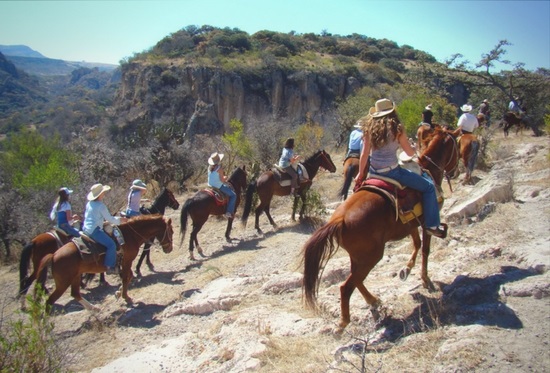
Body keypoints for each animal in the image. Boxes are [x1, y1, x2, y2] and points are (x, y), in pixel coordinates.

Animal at [36, 214, 174, 310]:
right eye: (171, 231)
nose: (169, 249)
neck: (130, 235)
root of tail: (53, 255)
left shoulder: (125, 261)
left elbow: (128, 276)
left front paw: (119, 293)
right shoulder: (127, 260)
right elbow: (126, 277)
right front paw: (126, 297)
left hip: (75, 277)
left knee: (75, 294)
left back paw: (94, 309)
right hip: (63, 283)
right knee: (50, 301)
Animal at [302, 128, 462, 328]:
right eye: (457, 145)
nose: (456, 170)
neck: (428, 170)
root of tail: (339, 220)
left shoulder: (411, 224)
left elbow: (416, 245)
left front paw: (406, 270)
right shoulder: (426, 223)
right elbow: (425, 250)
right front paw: (426, 280)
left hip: (359, 256)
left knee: (355, 279)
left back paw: (373, 301)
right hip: (371, 256)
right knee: (347, 286)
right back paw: (345, 322)